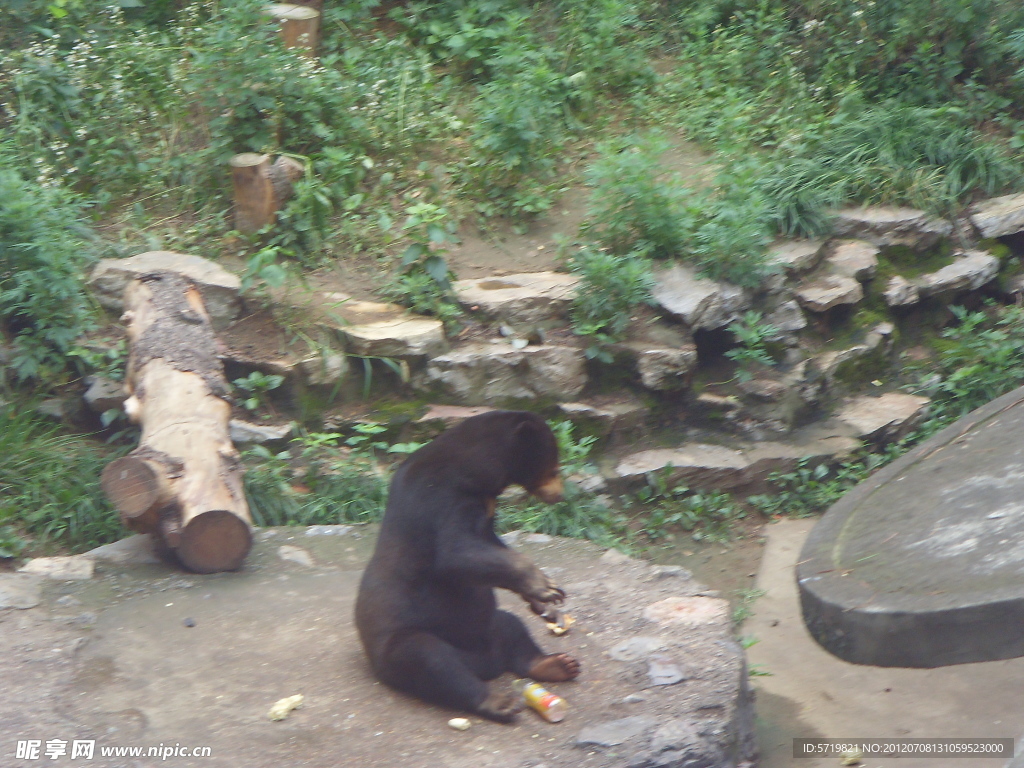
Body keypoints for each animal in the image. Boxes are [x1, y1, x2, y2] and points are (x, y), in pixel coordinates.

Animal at [354, 411, 581, 724]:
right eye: (555, 468)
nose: (560, 496)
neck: (475, 474)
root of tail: (487, 665)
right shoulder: (440, 498)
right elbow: (455, 553)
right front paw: (545, 587)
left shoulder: (482, 506)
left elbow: (490, 546)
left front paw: (546, 603)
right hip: (402, 641)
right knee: (432, 660)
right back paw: (499, 702)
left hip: (489, 626)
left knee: (512, 629)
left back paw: (557, 664)